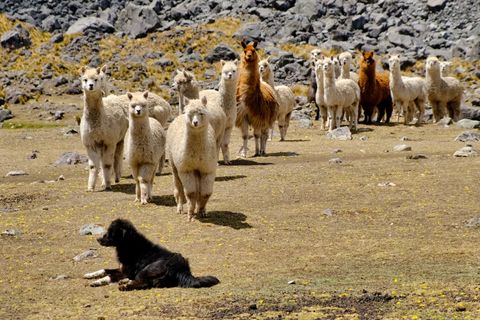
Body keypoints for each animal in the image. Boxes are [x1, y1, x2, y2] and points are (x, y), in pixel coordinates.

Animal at [85, 220, 220, 290]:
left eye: (110, 233)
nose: (98, 239)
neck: (129, 244)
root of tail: (183, 269)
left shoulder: (127, 272)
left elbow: (110, 276)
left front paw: (97, 282)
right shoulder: (122, 269)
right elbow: (104, 270)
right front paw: (89, 275)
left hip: (147, 269)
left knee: (145, 283)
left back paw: (125, 285)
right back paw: (125, 282)